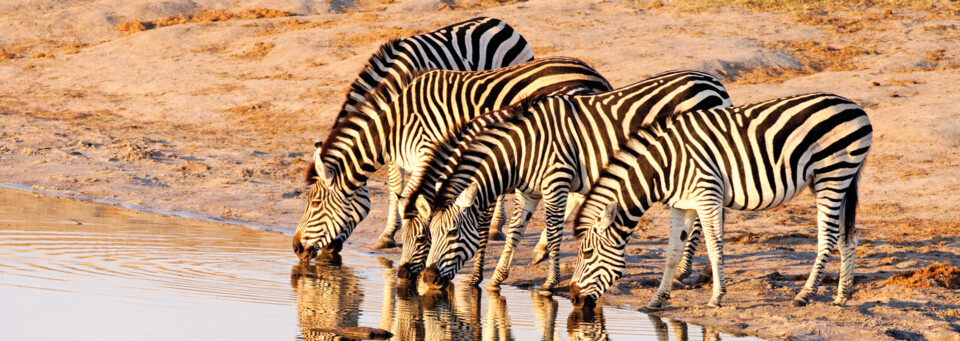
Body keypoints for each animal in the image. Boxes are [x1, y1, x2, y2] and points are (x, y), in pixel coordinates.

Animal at [292, 57, 612, 260]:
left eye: (314, 203)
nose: (295, 248)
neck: (396, 123)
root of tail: (595, 74)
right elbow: (411, 198)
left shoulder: (428, 153)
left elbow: (414, 200)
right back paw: (543, 247)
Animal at [294, 16, 532, 255]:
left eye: (315, 203)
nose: (296, 248)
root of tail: (499, 22)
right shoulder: (394, 142)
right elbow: (395, 186)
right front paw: (392, 232)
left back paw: (495, 227)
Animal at [418, 69, 728, 290]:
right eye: (429, 234)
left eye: (452, 234)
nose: (428, 279)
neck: (523, 148)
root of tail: (714, 82)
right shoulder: (528, 191)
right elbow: (515, 231)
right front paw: (497, 278)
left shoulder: (555, 180)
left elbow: (554, 230)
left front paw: (549, 282)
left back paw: (688, 271)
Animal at [568, 92, 872, 308]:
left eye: (587, 253)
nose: (572, 298)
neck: (665, 166)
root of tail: (856, 108)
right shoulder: (682, 204)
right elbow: (672, 253)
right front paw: (656, 300)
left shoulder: (707, 195)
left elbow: (715, 247)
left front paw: (717, 297)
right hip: (834, 180)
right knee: (848, 236)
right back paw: (842, 295)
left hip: (832, 175)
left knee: (829, 237)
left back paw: (805, 294)